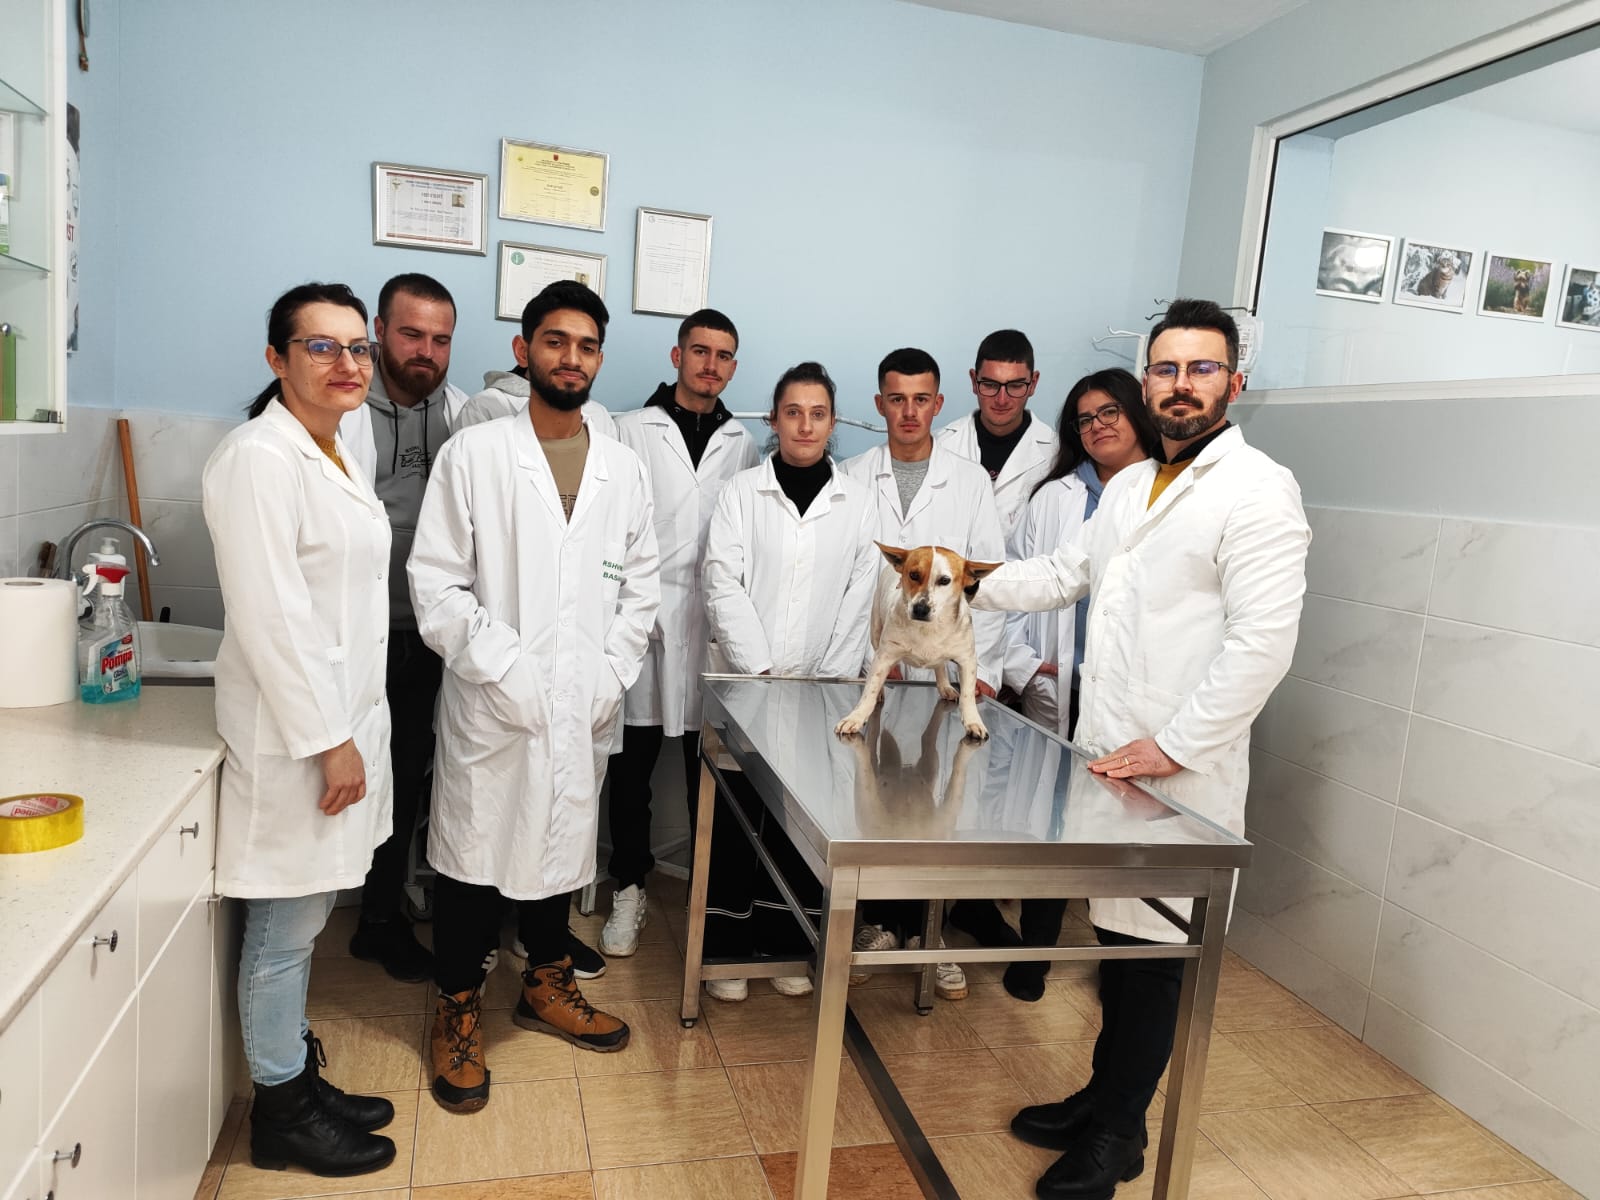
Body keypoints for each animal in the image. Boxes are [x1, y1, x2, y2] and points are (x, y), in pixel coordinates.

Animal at [834, 543, 1000, 742]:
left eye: (945, 580)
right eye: (913, 575)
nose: (920, 608)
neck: (928, 629)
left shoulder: (967, 660)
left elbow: (968, 695)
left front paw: (973, 721)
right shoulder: (885, 656)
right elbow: (870, 689)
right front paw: (856, 717)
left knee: (940, 666)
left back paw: (945, 687)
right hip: (875, 632)